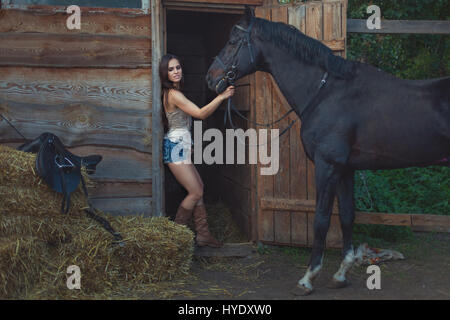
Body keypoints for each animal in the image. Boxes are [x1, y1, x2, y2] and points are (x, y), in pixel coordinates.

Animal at [206, 6, 448, 296]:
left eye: (233, 41)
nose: (211, 78)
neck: (326, 92)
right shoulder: (346, 169)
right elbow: (346, 216)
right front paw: (341, 274)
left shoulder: (327, 166)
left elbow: (321, 220)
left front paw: (308, 278)